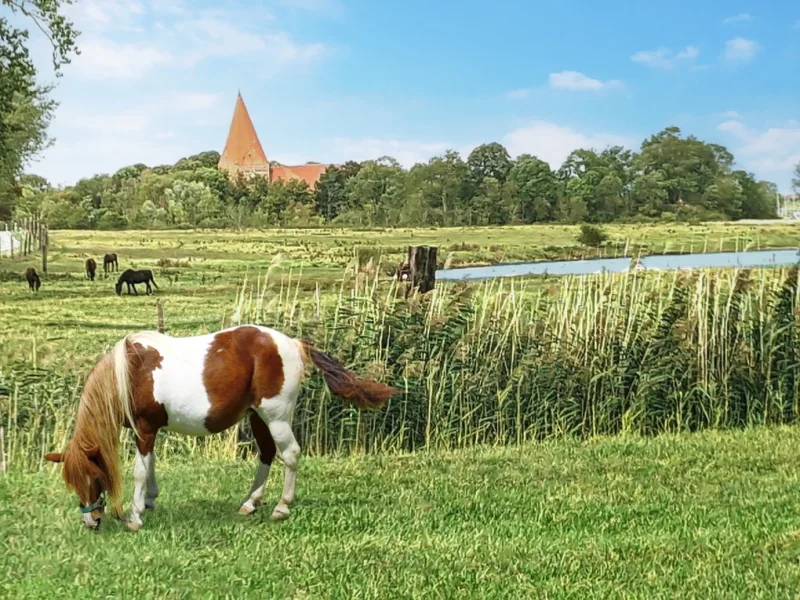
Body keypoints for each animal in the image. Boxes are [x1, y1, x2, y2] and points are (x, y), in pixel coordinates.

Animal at [45, 326, 398, 532]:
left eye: (93, 477)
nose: (90, 520)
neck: (130, 372)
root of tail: (294, 343)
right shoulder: (148, 432)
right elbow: (152, 465)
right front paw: (150, 501)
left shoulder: (144, 429)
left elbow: (139, 471)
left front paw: (135, 516)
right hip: (257, 416)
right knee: (267, 454)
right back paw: (250, 502)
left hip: (276, 416)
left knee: (290, 454)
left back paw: (282, 507)